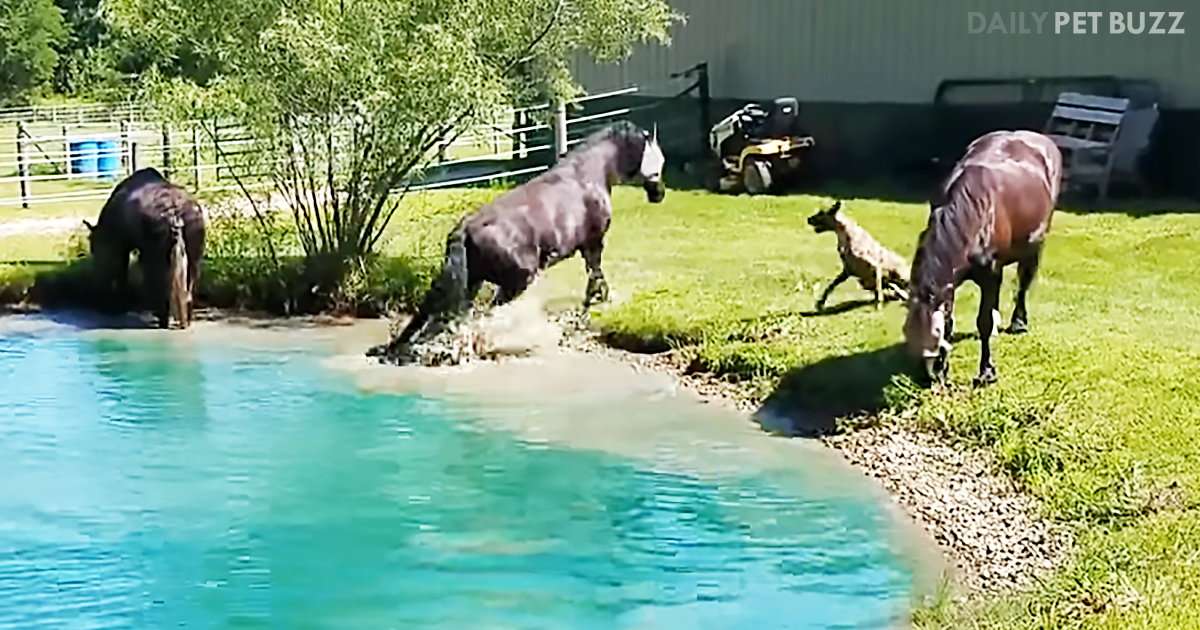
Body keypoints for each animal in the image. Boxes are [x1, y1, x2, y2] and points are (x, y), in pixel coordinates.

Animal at [83, 167, 207, 329]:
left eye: (94, 247)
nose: (98, 283)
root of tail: (175, 216)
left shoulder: (125, 247)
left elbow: (123, 273)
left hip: (157, 257)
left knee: (161, 285)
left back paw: (163, 319)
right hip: (193, 258)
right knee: (188, 288)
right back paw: (185, 320)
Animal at [368, 120, 666, 361]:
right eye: (658, 161)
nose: (659, 194)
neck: (590, 173)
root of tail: (464, 230)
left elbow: (595, 276)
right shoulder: (593, 243)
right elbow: (596, 274)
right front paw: (600, 301)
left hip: (472, 283)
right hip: (516, 281)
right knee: (484, 315)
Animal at [904, 130, 1062, 387]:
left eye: (934, 337)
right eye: (908, 335)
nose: (925, 378)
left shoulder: (990, 274)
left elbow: (984, 321)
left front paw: (987, 371)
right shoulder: (950, 285)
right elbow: (952, 320)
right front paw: (943, 369)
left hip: (1035, 244)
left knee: (1023, 283)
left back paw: (1019, 323)